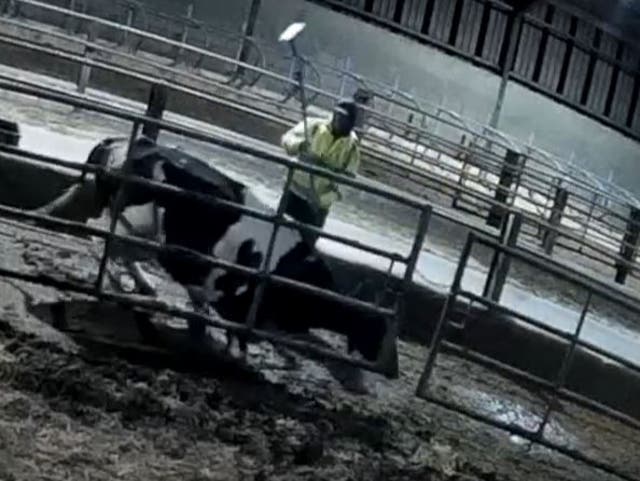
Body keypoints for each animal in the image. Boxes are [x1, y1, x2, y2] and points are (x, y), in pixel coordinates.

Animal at [40, 135, 396, 372]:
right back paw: (122, 286)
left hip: (147, 233)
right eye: (379, 329)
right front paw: (231, 352)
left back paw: (144, 287)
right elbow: (231, 328)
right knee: (102, 238)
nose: (392, 369)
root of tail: (122, 142)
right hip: (134, 222)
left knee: (118, 249)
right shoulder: (232, 295)